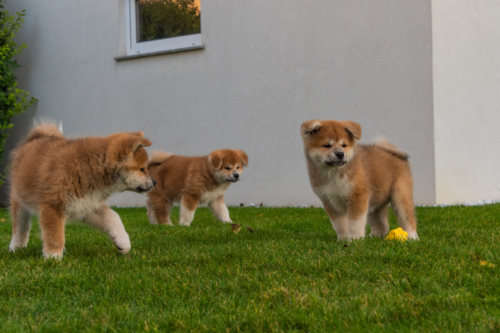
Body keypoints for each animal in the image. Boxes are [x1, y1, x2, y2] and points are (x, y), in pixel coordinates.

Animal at [8, 122, 156, 260]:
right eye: (142, 169)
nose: (155, 182)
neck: (88, 169)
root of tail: (33, 139)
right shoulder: (53, 207)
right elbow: (54, 235)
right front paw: (53, 257)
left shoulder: (87, 205)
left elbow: (113, 217)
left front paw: (123, 241)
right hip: (20, 201)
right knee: (20, 228)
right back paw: (17, 247)